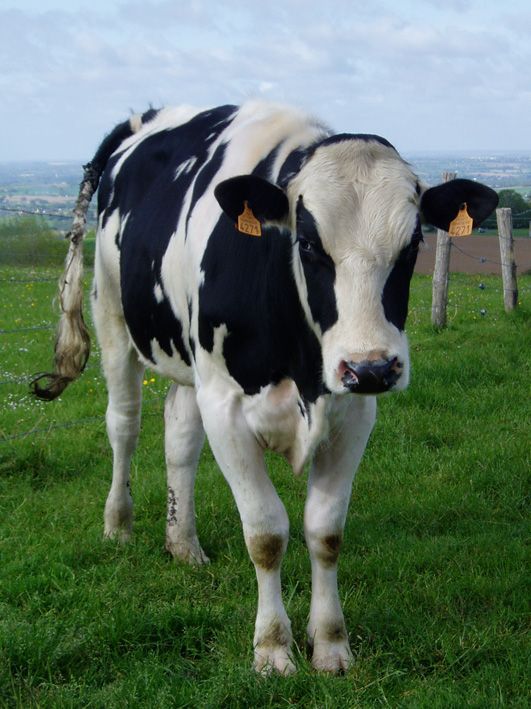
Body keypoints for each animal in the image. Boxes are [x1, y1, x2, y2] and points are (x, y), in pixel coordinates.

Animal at [33, 101, 498, 675]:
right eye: (308, 243)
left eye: (413, 245)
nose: (371, 368)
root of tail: (146, 117)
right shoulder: (227, 410)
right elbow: (266, 534)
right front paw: (273, 648)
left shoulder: (352, 415)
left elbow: (325, 531)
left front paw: (331, 645)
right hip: (114, 319)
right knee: (124, 425)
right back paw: (118, 526)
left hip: (191, 366)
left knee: (179, 436)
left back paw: (182, 543)